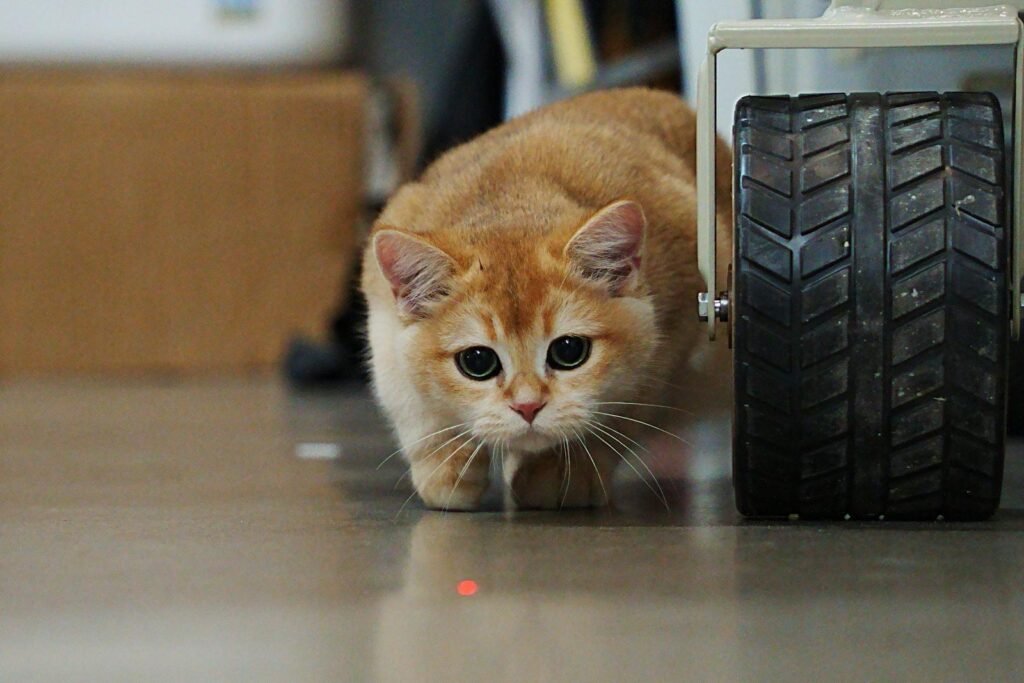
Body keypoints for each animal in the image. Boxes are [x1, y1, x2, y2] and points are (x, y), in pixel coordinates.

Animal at [360, 88, 729, 509]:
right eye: (477, 361)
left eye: (569, 351)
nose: (527, 406)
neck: (511, 194)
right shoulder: (383, 318)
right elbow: (406, 398)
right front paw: (446, 465)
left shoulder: (675, 328)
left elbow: (628, 407)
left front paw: (563, 471)